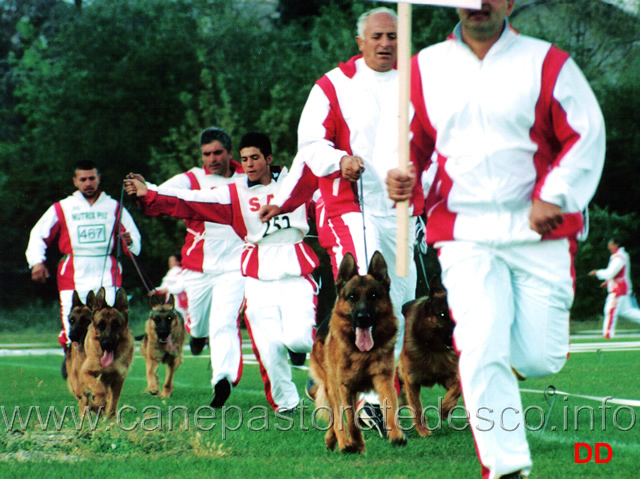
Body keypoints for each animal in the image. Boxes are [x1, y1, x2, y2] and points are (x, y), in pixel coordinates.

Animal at [80, 288, 134, 416]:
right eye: (101, 325)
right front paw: (98, 403)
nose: (107, 343)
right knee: (85, 399)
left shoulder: (118, 380)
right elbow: (99, 388)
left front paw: (110, 417)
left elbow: (113, 403)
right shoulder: (85, 372)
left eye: (116, 325)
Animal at [308, 251, 404, 454]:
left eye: (374, 296)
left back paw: (331, 440)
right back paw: (343, 442)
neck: (362, 354)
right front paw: (356, 445)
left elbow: (390, 408)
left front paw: (396, 435)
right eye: (352, 297)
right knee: (336, 417)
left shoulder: (384, 380)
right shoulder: (345, 387)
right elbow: (350, 421)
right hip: (332, 385)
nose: (363, 318)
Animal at [398, 280, 462, 436]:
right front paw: (424, 432)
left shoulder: (448, 376)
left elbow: (457, 388)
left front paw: (445, 409)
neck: (433, 349)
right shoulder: (411, 381)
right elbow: (417, 408)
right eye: (442, 314)